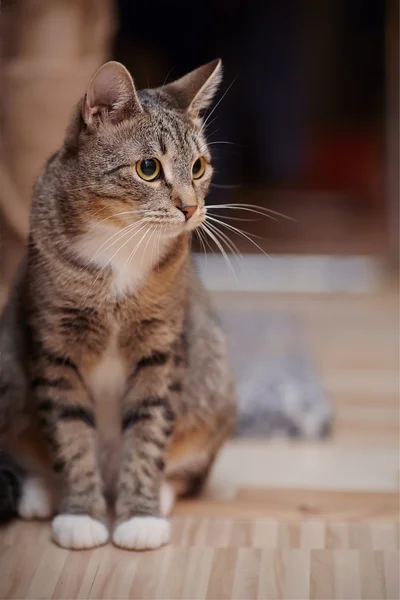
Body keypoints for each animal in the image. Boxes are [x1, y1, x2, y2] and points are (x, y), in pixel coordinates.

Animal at [0, 59, 236, 548]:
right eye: (148, 168)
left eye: (199, 166)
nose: (191, 208)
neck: (122, 241)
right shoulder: (55, 346)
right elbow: (70, 433)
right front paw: (81, 515)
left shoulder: (161, 345)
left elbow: (148, 430)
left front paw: (140, 516)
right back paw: (39, 491)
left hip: (215, 387)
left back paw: (161, 492)